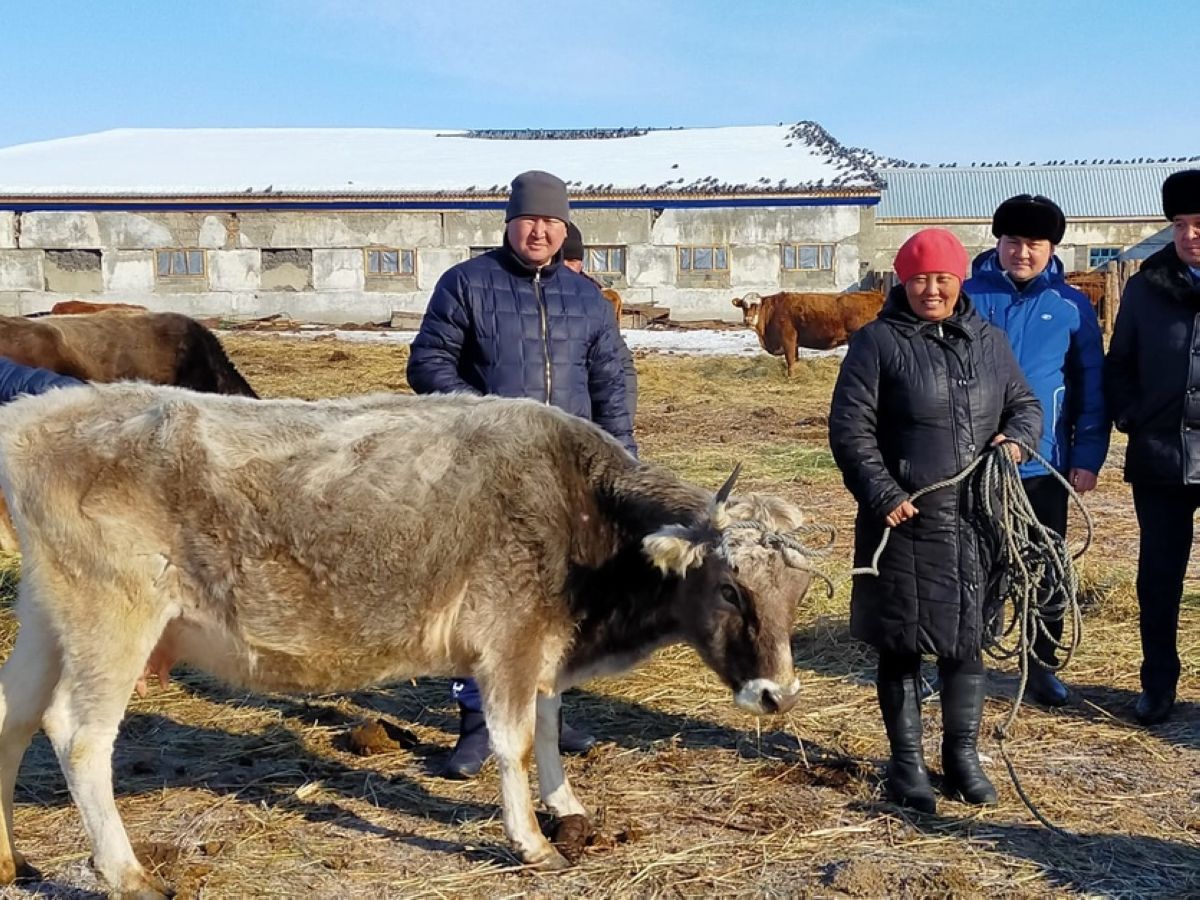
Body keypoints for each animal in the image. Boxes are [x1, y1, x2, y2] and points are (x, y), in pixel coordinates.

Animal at [0, 386, 820, 897]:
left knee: (12, 717)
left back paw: (12, 860)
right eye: (729, 589)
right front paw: (532, 841)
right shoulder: (508, 638)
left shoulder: (541, 646)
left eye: (798, 592)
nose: (777, 694)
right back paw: (128, 873)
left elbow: (549, 723)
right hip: (114, 618)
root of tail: (42, 411)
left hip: (48, 616)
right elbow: (515, 742)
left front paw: (567, 806)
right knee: (77, 735)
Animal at [724, 289, 888, 374]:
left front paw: (790, 378)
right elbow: (795, 360)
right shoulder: (795, 343)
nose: (748, 320)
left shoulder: (788, 338)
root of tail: (876, 295)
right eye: (743, 306)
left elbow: (790, 361)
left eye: (756, 306)